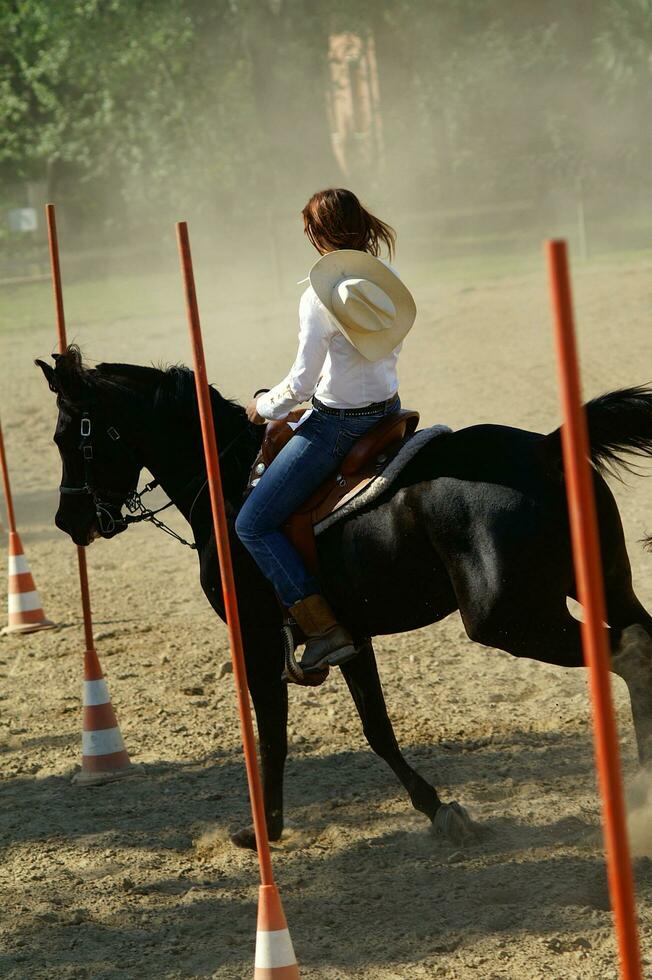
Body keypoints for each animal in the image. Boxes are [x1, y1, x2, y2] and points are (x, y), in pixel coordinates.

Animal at [35, 348, 652, 848]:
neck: (226, 481)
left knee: (629, 654)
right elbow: (377, 728)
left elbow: (273, 735)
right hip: (607, 586)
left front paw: (264, 829)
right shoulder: (350, 637)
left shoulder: (256, 640)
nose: (68, 520)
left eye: (68, 437)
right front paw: (440, 811)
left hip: (511, 620)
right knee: (641, 641)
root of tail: (547, 447)